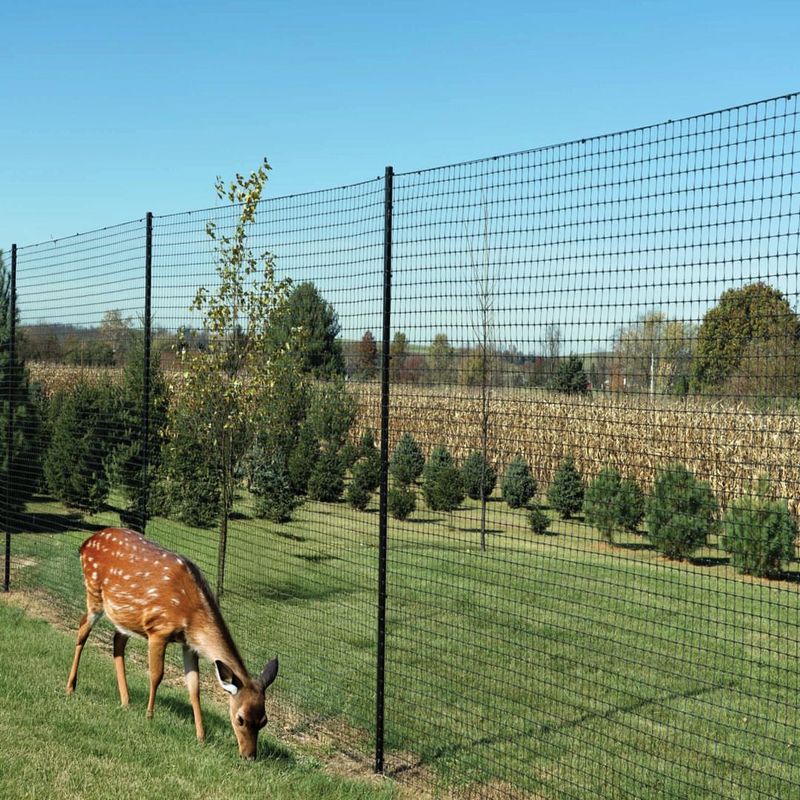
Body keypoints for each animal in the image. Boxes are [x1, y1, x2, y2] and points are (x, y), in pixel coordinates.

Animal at [66, 527, 278, 760]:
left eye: (264, 721)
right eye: (240, 719)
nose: (249, 755)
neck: (191, 615)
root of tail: (86, 543)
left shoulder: (189, 644)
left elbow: (194, 687)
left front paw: (201, 736)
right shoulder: (158, 630)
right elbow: (156, 675)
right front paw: (149, 716)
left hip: (125, 615)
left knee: (117, 641)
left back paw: (126, 701)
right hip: (94, 593)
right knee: (82, 629)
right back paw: (71, 687)